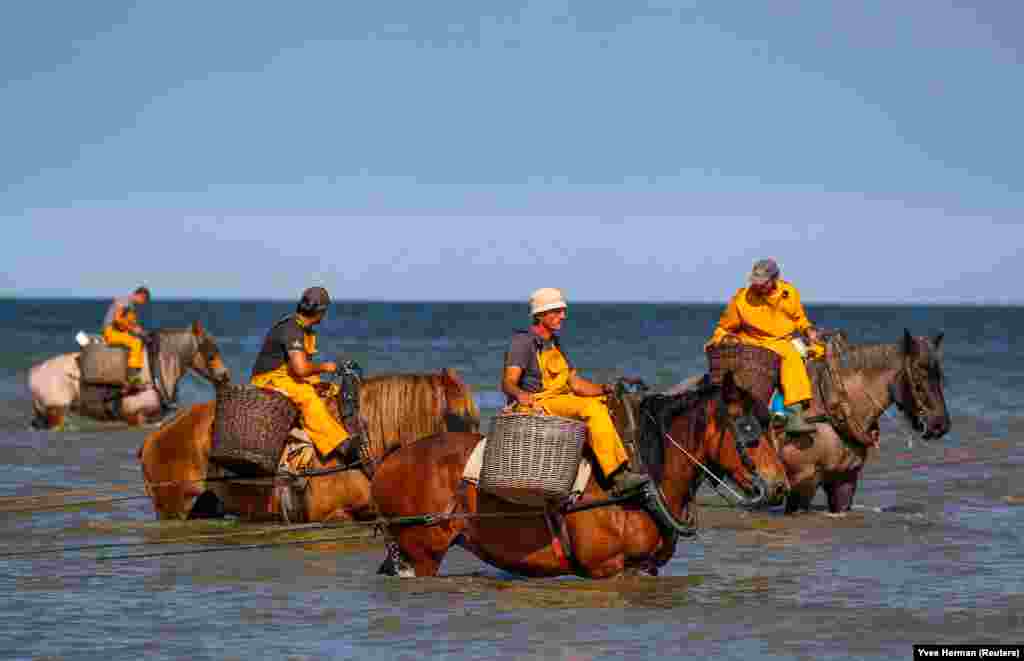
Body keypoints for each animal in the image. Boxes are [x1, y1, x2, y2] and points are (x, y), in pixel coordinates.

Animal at [28, 323, 230, 435]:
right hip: (56, 413)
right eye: (210, 352)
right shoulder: (136, 417)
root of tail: (35, 371)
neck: (156, 369)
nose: (225, 375)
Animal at [372, 376, 786, 581]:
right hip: (422, 554)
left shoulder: (646, 567)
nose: (779, 484)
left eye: (770, 423)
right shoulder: (610, 568)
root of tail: (389, 462)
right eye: (748, 428)